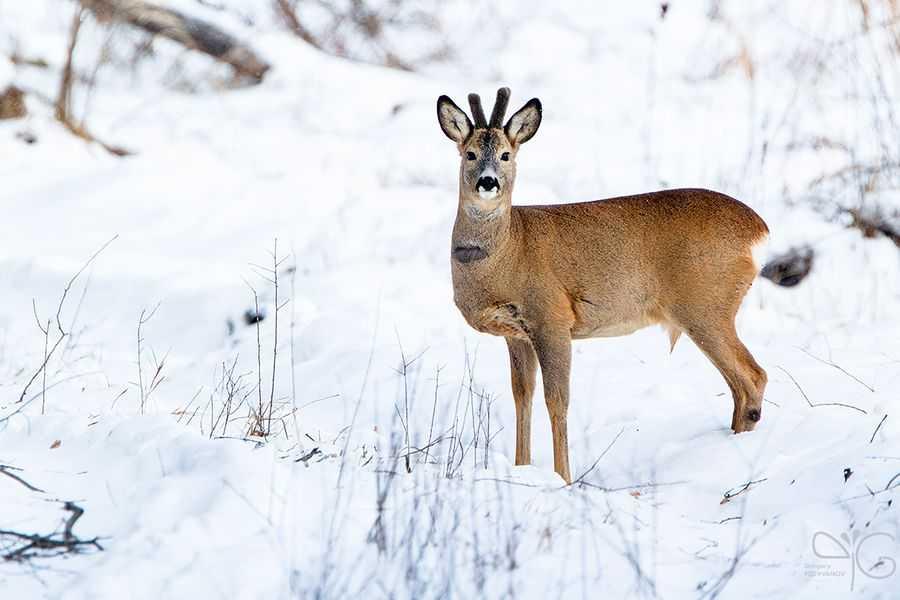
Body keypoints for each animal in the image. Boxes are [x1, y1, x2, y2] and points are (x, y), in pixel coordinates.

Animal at [434, 88, 768, 482]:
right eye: (469, 153)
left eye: (506, 154)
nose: (488, 182)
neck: (509, 252)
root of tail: (758, 230)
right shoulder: (517, 334)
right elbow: (522, 396)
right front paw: (522, 469)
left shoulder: (552, 318)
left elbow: (557, 400)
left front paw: (563, 478)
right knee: (740, 385)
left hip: (706, 306)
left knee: (753, 376)